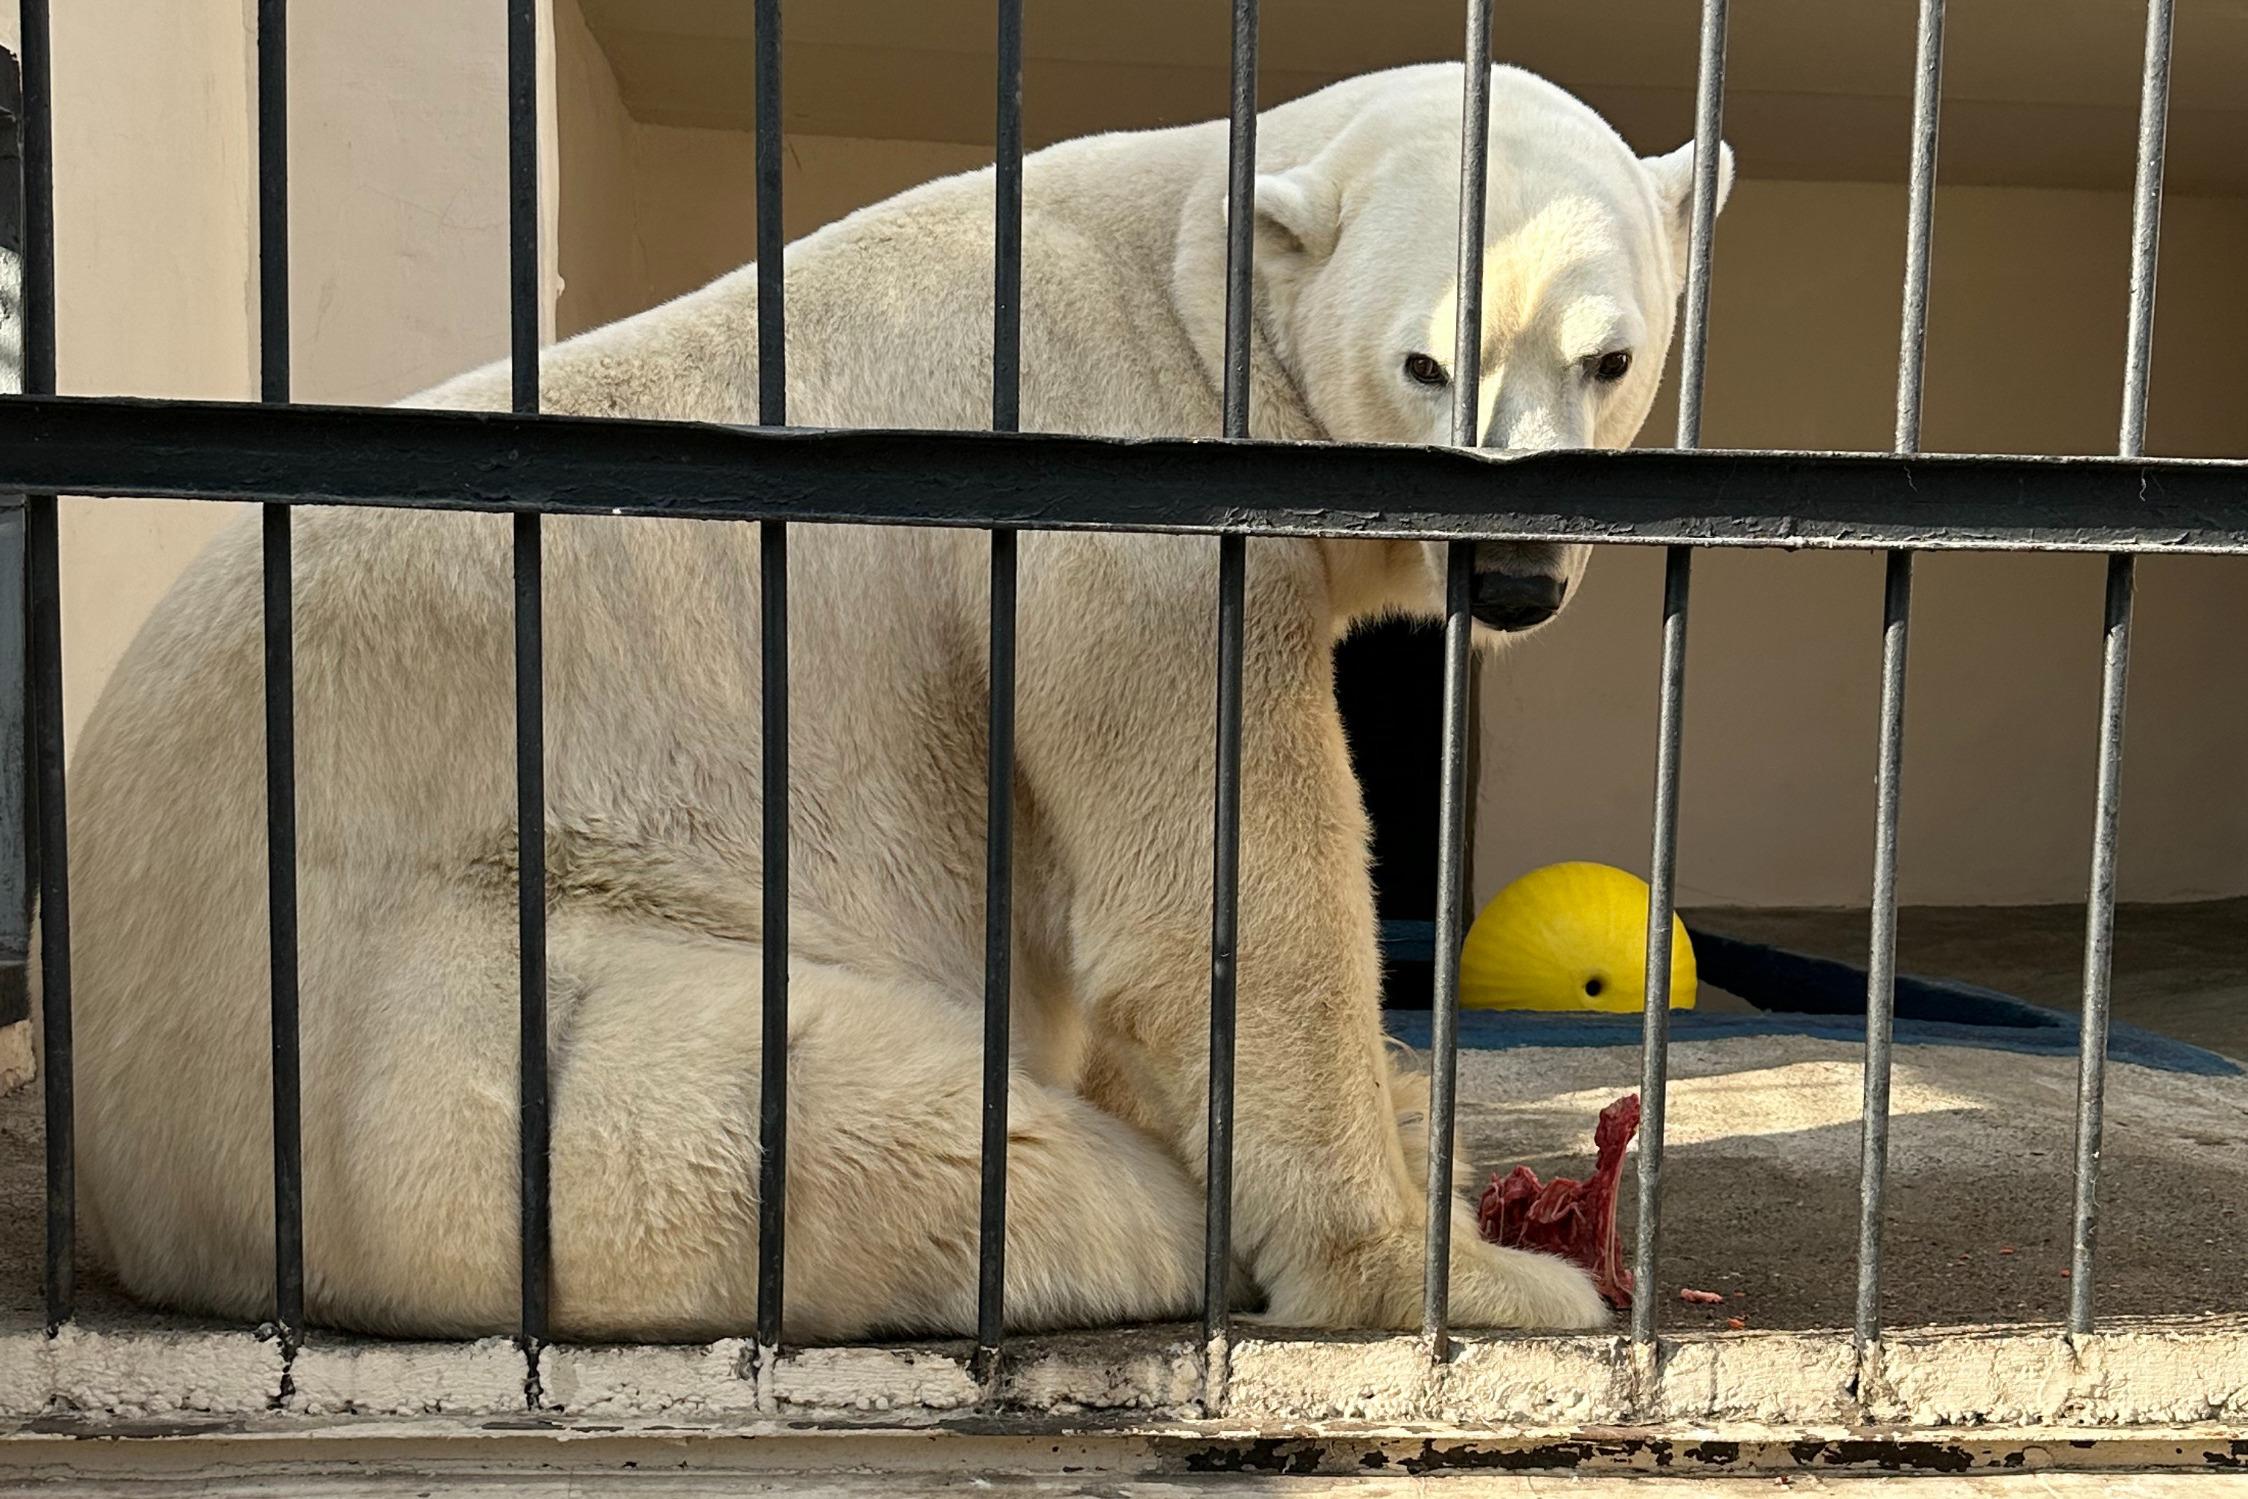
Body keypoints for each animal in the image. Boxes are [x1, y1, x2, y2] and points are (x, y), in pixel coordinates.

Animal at [57, 64, 1735, 1339]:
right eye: (1427, 362)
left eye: (1609, 356)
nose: (1512, 576)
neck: (1193, 281)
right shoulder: (1124, 527)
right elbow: (1220, 909)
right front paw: (1464, 1270)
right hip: (459, 1033)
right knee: (882, 1124)